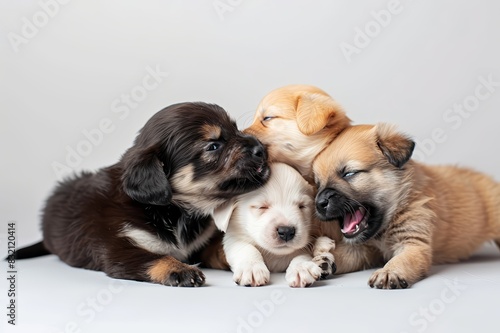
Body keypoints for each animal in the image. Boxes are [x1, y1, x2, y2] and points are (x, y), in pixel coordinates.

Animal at [14, 101, 270, 286]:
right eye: (213, 146)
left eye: (235, 129)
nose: (262, 149)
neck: (176, 211)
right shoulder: (119, 249)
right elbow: (155, 258)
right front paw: (181, 270)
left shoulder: (201, 244)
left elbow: (222, 248)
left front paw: (250, 263)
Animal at [312, 124, 500, 288]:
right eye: (318, 183)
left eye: (349, 173)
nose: (319, 204)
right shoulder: (364, 250)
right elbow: (343, 254)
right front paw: (323, 260)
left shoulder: (413, 244)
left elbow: (402, 260)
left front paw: (390, 272)